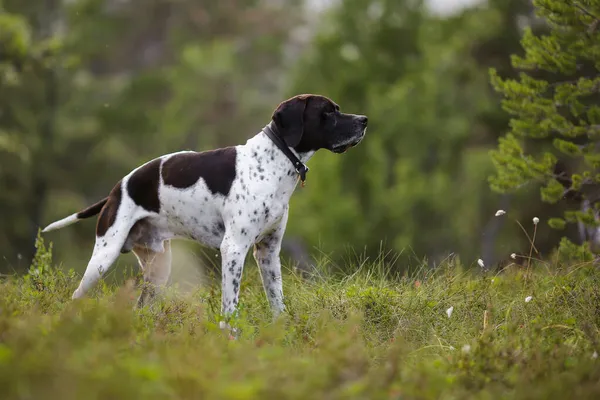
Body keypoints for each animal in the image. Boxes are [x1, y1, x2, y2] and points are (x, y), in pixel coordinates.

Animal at [42, 94, 368, 328]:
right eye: (328, 112)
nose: (364, 120)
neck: (273, 162)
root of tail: (116, 189)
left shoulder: (268, 251)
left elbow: (277, 302)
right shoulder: (233, 248)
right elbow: (230, 307)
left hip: (158, 270)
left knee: (140, 309)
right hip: (103, 258)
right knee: (75, 298)